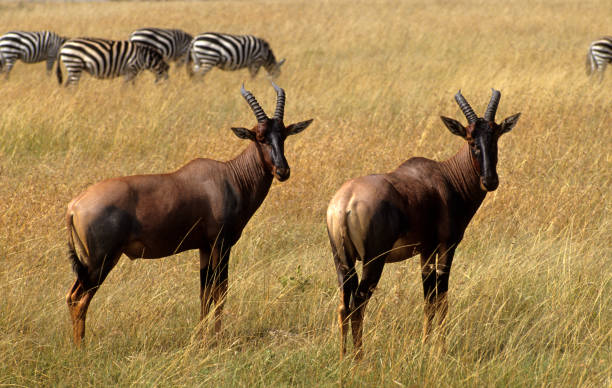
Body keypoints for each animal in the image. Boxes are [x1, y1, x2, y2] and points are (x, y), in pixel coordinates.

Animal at [65, 82, 314, 346]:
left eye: (283, 135)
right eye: (260, 137)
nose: (283, 171)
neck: (229, 176)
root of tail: (74, 205)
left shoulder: (204, 247)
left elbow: (204, 292)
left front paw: (202, 338)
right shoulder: (221, 244)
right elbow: (221, 291)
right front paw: (216, 338)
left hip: (89, 264)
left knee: (71, 296)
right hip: (100, 262)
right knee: (80, 301)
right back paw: (81, 348)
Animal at [328, 89, 520, 360]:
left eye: (495, 136)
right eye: (471, 140)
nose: (489, 180)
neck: (446, 177)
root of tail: (346, 201)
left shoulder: (425, 251)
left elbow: (428, 300)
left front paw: (426, 344)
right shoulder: (446, 247)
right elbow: (441, 299)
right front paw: (439, 349)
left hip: (342, 261)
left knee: (343, 306)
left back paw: (344, 356)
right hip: (373, 261)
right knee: (358, 305)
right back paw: (359, 358)